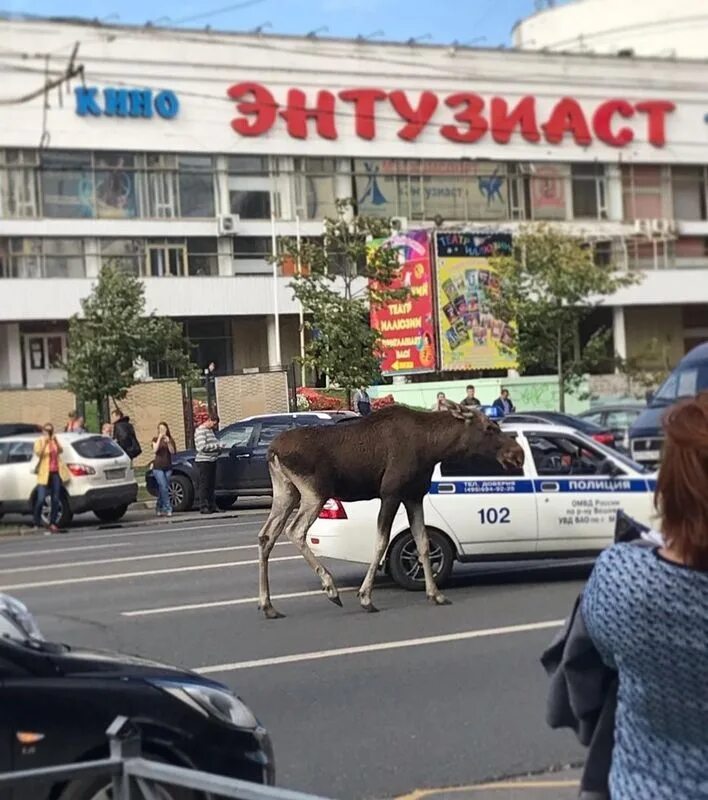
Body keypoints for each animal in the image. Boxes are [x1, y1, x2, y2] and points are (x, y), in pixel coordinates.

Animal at [258, 404, 524, 620]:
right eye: (490, 427)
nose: (518, 453)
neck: (432, 448)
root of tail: (272, 451)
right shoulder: (391, 493)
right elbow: (381, 542)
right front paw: (365, 597)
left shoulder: (414, 496)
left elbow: (422, 543)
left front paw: (435, 594)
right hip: (314, 493)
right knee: (295, 531)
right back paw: (330, 589)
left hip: (286, 492)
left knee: (266, 535)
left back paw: (268, 605)